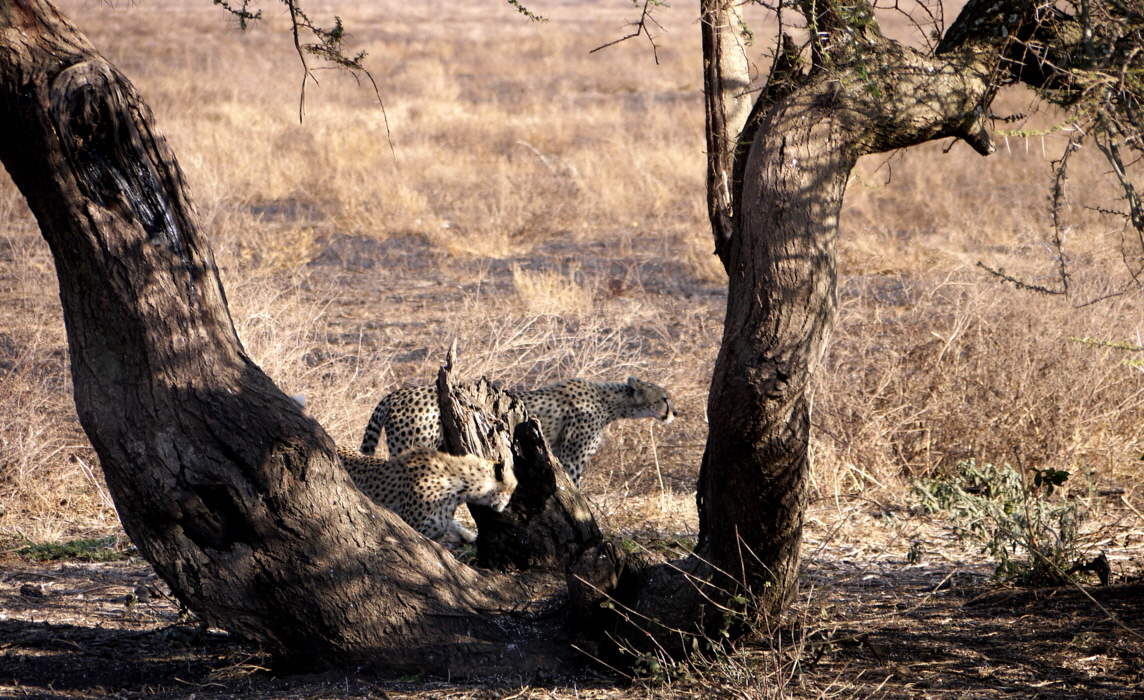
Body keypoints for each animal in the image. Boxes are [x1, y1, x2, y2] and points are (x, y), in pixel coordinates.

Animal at [361, 377, 672, 487]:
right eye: (664, 398)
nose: (674, 413)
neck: (609, 401)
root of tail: (396, 393)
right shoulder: (572, 459)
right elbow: (575, 487)